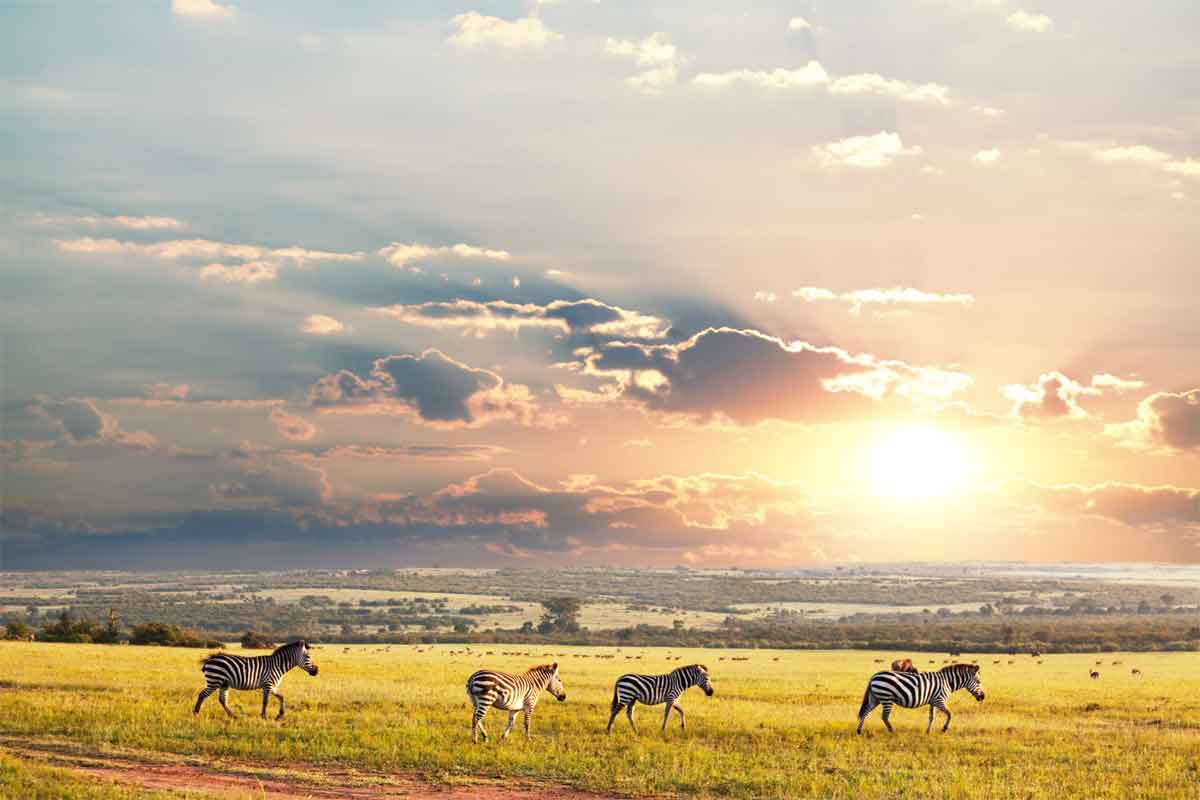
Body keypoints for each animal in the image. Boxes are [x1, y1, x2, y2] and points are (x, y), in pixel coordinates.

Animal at [854, 662, 984, 734]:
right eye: (979, 681)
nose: (983, 697)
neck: (947, 682)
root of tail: (874, 676)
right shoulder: (939, 700)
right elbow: (950, 714)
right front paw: (944, 728)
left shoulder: (933, 702)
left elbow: (932, 717)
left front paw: (928, 731)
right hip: (886, 698)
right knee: (884, 717)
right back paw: (892, 731)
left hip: (875, 698)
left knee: (865, 712)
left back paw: (859, 731)